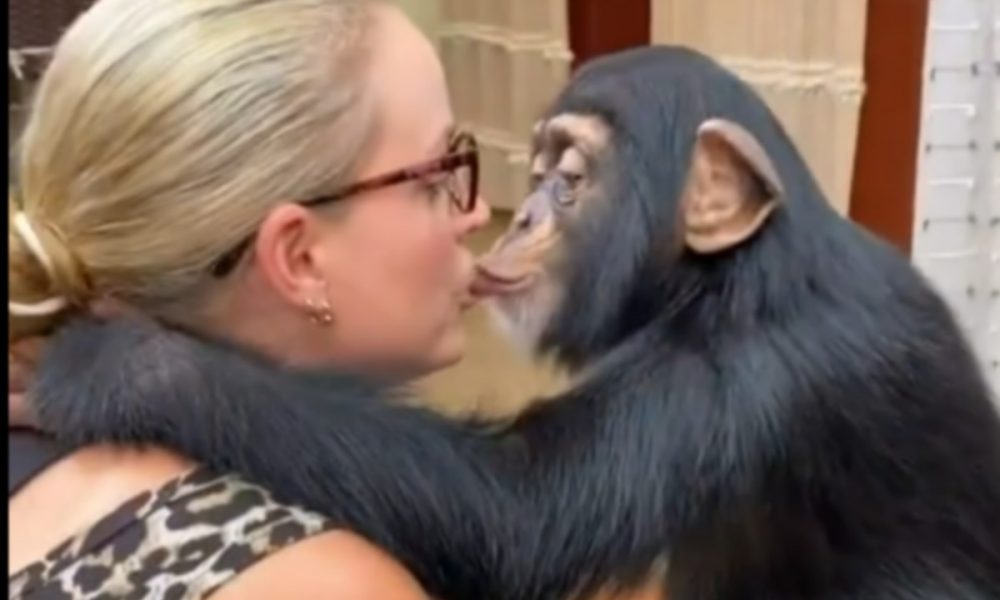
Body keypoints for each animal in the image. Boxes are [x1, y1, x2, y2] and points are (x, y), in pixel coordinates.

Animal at [25, 46, 1000, 600]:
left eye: (570, 180)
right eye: (536, 169)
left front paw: (122, 363)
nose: (524, 211)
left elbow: (520, 508)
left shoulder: (747, 369)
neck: (724, 277)